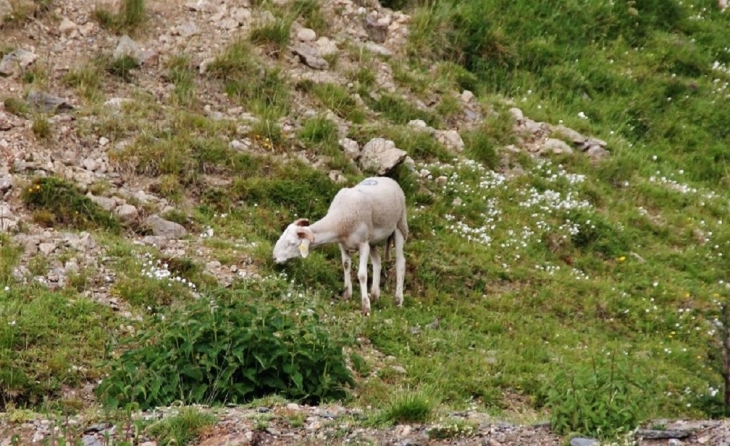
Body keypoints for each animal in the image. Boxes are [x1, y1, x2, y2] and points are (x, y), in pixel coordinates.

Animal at [272, 176, 410, 316]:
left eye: (291, 243)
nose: (274, 257)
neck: (341, 217)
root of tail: (386, 178)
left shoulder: (363, 244)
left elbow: (362, 275)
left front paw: (365, 306)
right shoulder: (343, 244)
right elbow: (346, 265)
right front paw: (347, 295)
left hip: (400, 225)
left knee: (400, 263)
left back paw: (398, 300)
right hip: (372, 239)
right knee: (377, 261)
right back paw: (375, 294)